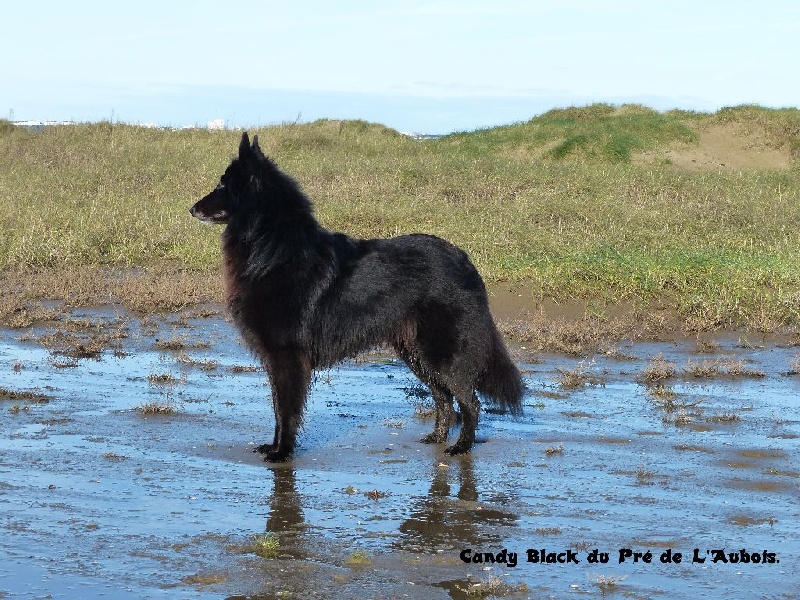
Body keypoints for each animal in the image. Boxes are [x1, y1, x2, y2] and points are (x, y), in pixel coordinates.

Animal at [189, 134, 524, 462]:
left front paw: (282, 452)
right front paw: (274, 447)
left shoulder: (286, 356)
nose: (191, 209)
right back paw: (437, 439)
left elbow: (285, 410)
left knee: (470, 402)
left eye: (222, 185)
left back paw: (461, 448)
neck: (271, 247)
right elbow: (277, 407)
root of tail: (465, 261)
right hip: (416, 353)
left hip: (440, 352)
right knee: (444, 398)